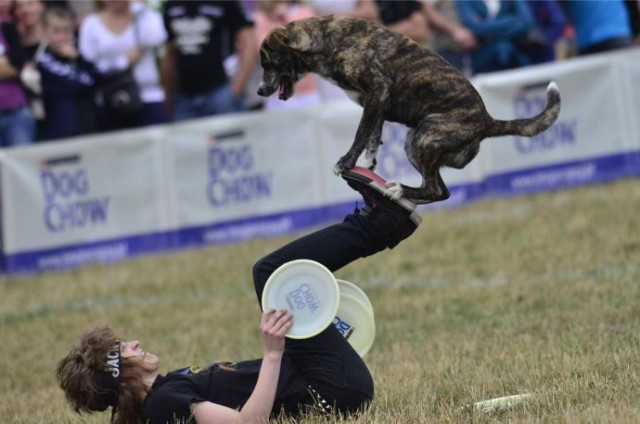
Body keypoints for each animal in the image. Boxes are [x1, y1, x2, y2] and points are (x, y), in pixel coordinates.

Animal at [256, 14, 560, 204]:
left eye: (267, 63)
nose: (259, 91)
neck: (328, 41)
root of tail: (488, 121)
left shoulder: (377, 90)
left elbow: (360, 133)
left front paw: (346, 162)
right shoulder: (376, 102)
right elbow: (373, 134)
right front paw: (368, 162)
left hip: (425, 136)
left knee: (435, 190)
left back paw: (399, 189)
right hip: (415, 140)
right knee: (441, 191)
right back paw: (399, 191)